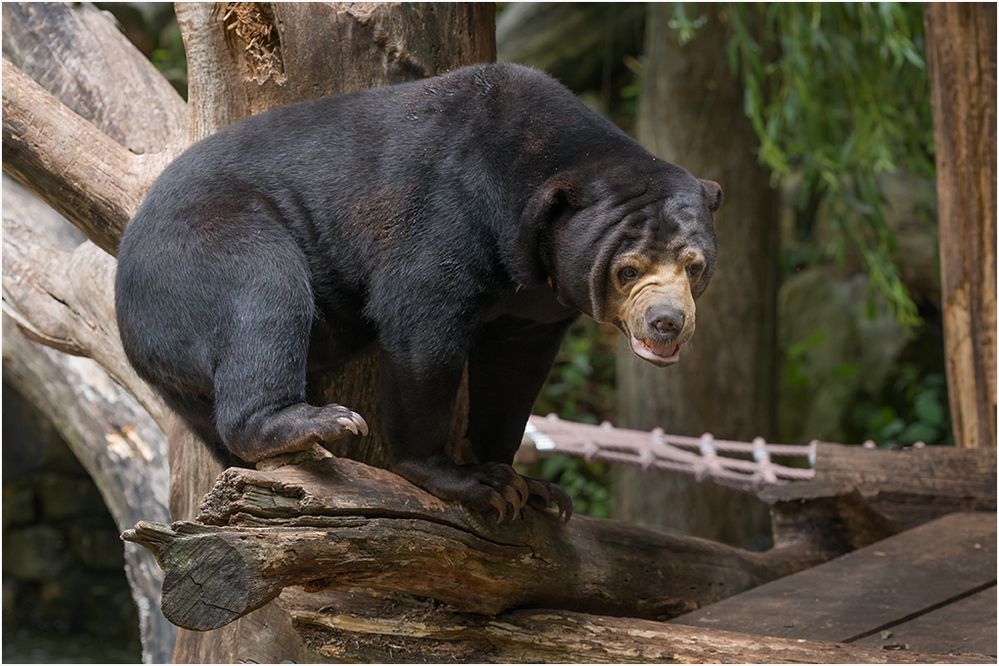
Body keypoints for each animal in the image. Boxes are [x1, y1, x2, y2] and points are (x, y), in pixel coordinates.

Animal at [117, 63, 724, 520]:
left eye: (694, 267)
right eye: (628, 270)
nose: (667, 322)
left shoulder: (536, 305)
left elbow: (515, 371)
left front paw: (530, 487)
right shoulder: (446, 215)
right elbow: (422, 328)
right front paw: (471, 482)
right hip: (202, 251)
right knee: (265, 291)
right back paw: (316, 421)